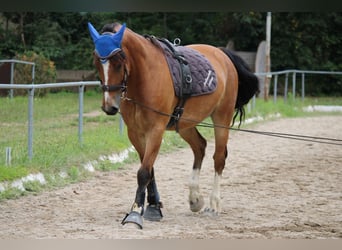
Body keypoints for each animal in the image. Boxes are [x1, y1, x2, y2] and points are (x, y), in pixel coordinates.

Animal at [88, 22, 260, 229]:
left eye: (118, 63)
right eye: (97, 62)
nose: (109, 106)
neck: (145, 77)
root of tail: (221, 54)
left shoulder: (156, 130)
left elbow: (143, 172)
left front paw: (135, 213)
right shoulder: (135, 133)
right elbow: (149, 170)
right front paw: (153, 206)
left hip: (222, 117)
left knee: (219, 158)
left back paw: (214, 204)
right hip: (185, 124)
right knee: (200, 147)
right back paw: (195, 199)